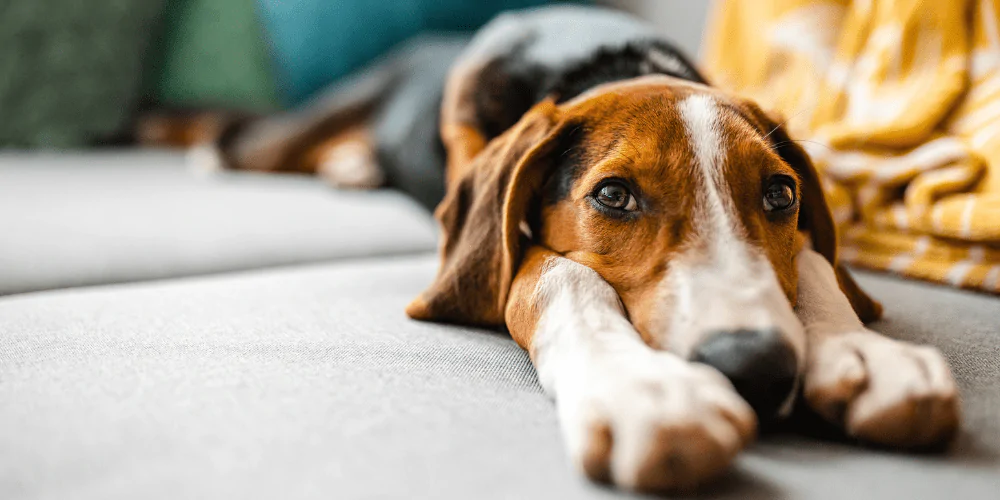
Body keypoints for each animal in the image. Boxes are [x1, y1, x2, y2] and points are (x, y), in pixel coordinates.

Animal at [188, 5, 960, 492]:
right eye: (613, 196)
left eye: (780, 195)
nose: (757, 366)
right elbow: (557, 276)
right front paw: (644, 389)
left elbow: (814, 261)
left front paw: (865, 351)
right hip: (311, 119)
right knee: (241, 141)